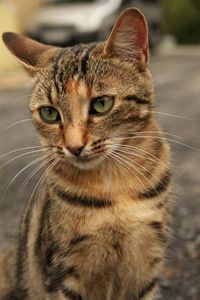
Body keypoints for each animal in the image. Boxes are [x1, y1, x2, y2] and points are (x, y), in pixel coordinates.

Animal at [0, 6, 172, 300]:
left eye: (102, 104)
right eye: (49, 113)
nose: (74, 146)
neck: (116, 187)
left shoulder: (147, 262)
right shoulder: (64, 272)